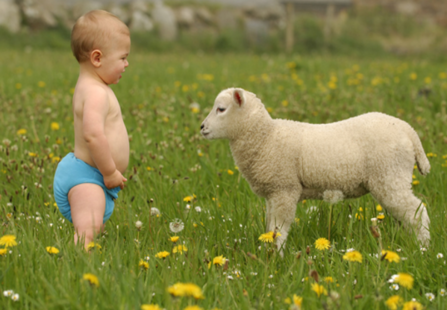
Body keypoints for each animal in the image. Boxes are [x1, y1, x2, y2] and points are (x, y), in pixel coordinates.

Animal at [200, 86, 430, 254]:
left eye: (221, 109)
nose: (202, 127)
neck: (266, 137)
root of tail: (408, 130)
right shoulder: (273, 194)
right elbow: (270, 228)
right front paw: (268, 252)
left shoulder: (285, 189)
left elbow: (279, 229)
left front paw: (277, 258)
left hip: (390, 176)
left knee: (417, 211)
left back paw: (423, 248)